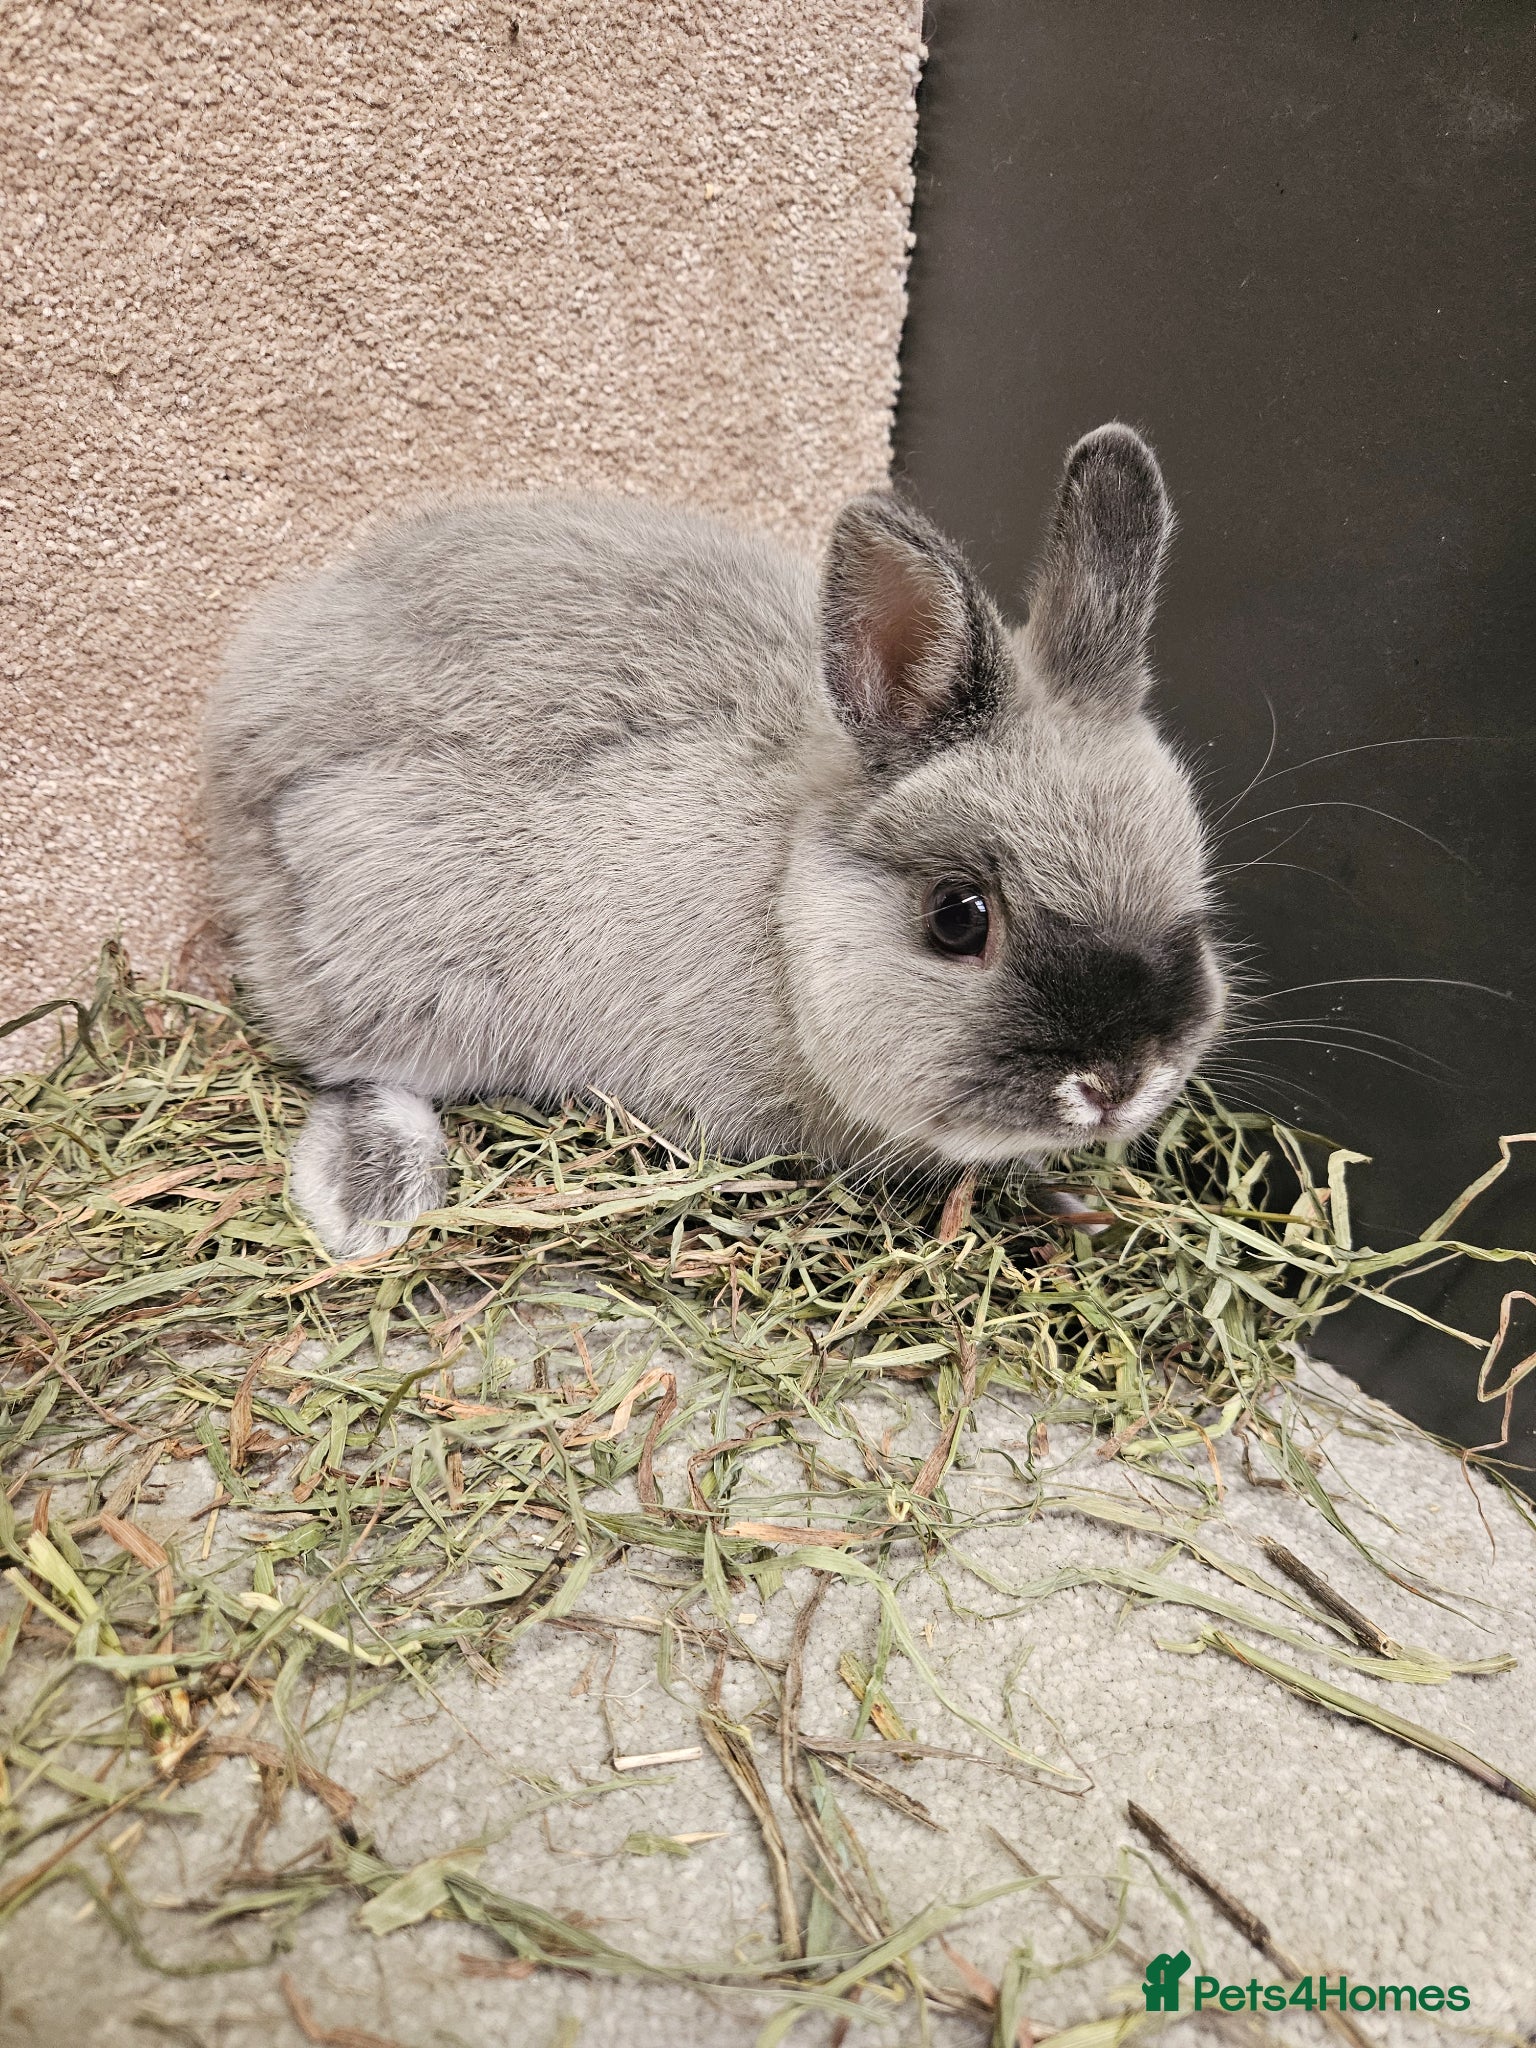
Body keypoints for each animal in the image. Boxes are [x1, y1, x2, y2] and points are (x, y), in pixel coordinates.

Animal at [203, 423, 1226, 1258]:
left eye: (1197, 901)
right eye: (958, 918)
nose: (1116, 1083)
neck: (783, 908)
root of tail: (249, 717)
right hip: (395, 954)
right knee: (354, 1068)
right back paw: (370, 1201)